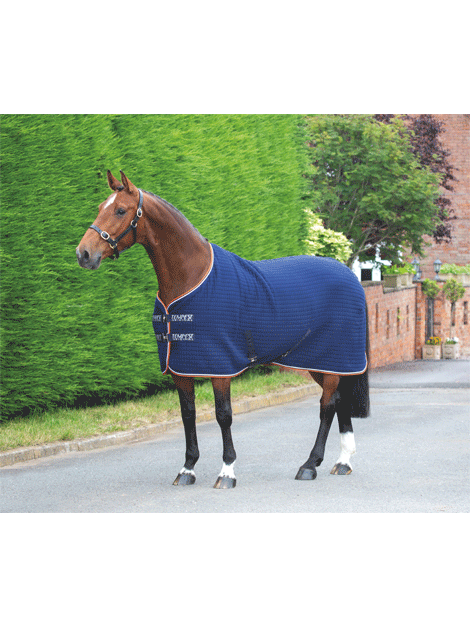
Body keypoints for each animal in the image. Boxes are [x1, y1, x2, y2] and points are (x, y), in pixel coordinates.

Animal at [76, 170, 369, 489]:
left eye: (120, 210)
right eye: (100, 207)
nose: (84, 254)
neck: (191, 278)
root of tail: (349, 275)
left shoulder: (220, 366)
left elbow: (223, 415)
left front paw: (227, 471)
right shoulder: (181, 367)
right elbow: (188, 414)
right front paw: (187, 468)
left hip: (332, 358)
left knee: (327, 406)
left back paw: (310, 465)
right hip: (321, 361)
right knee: (339, 401)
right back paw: (343, 462)